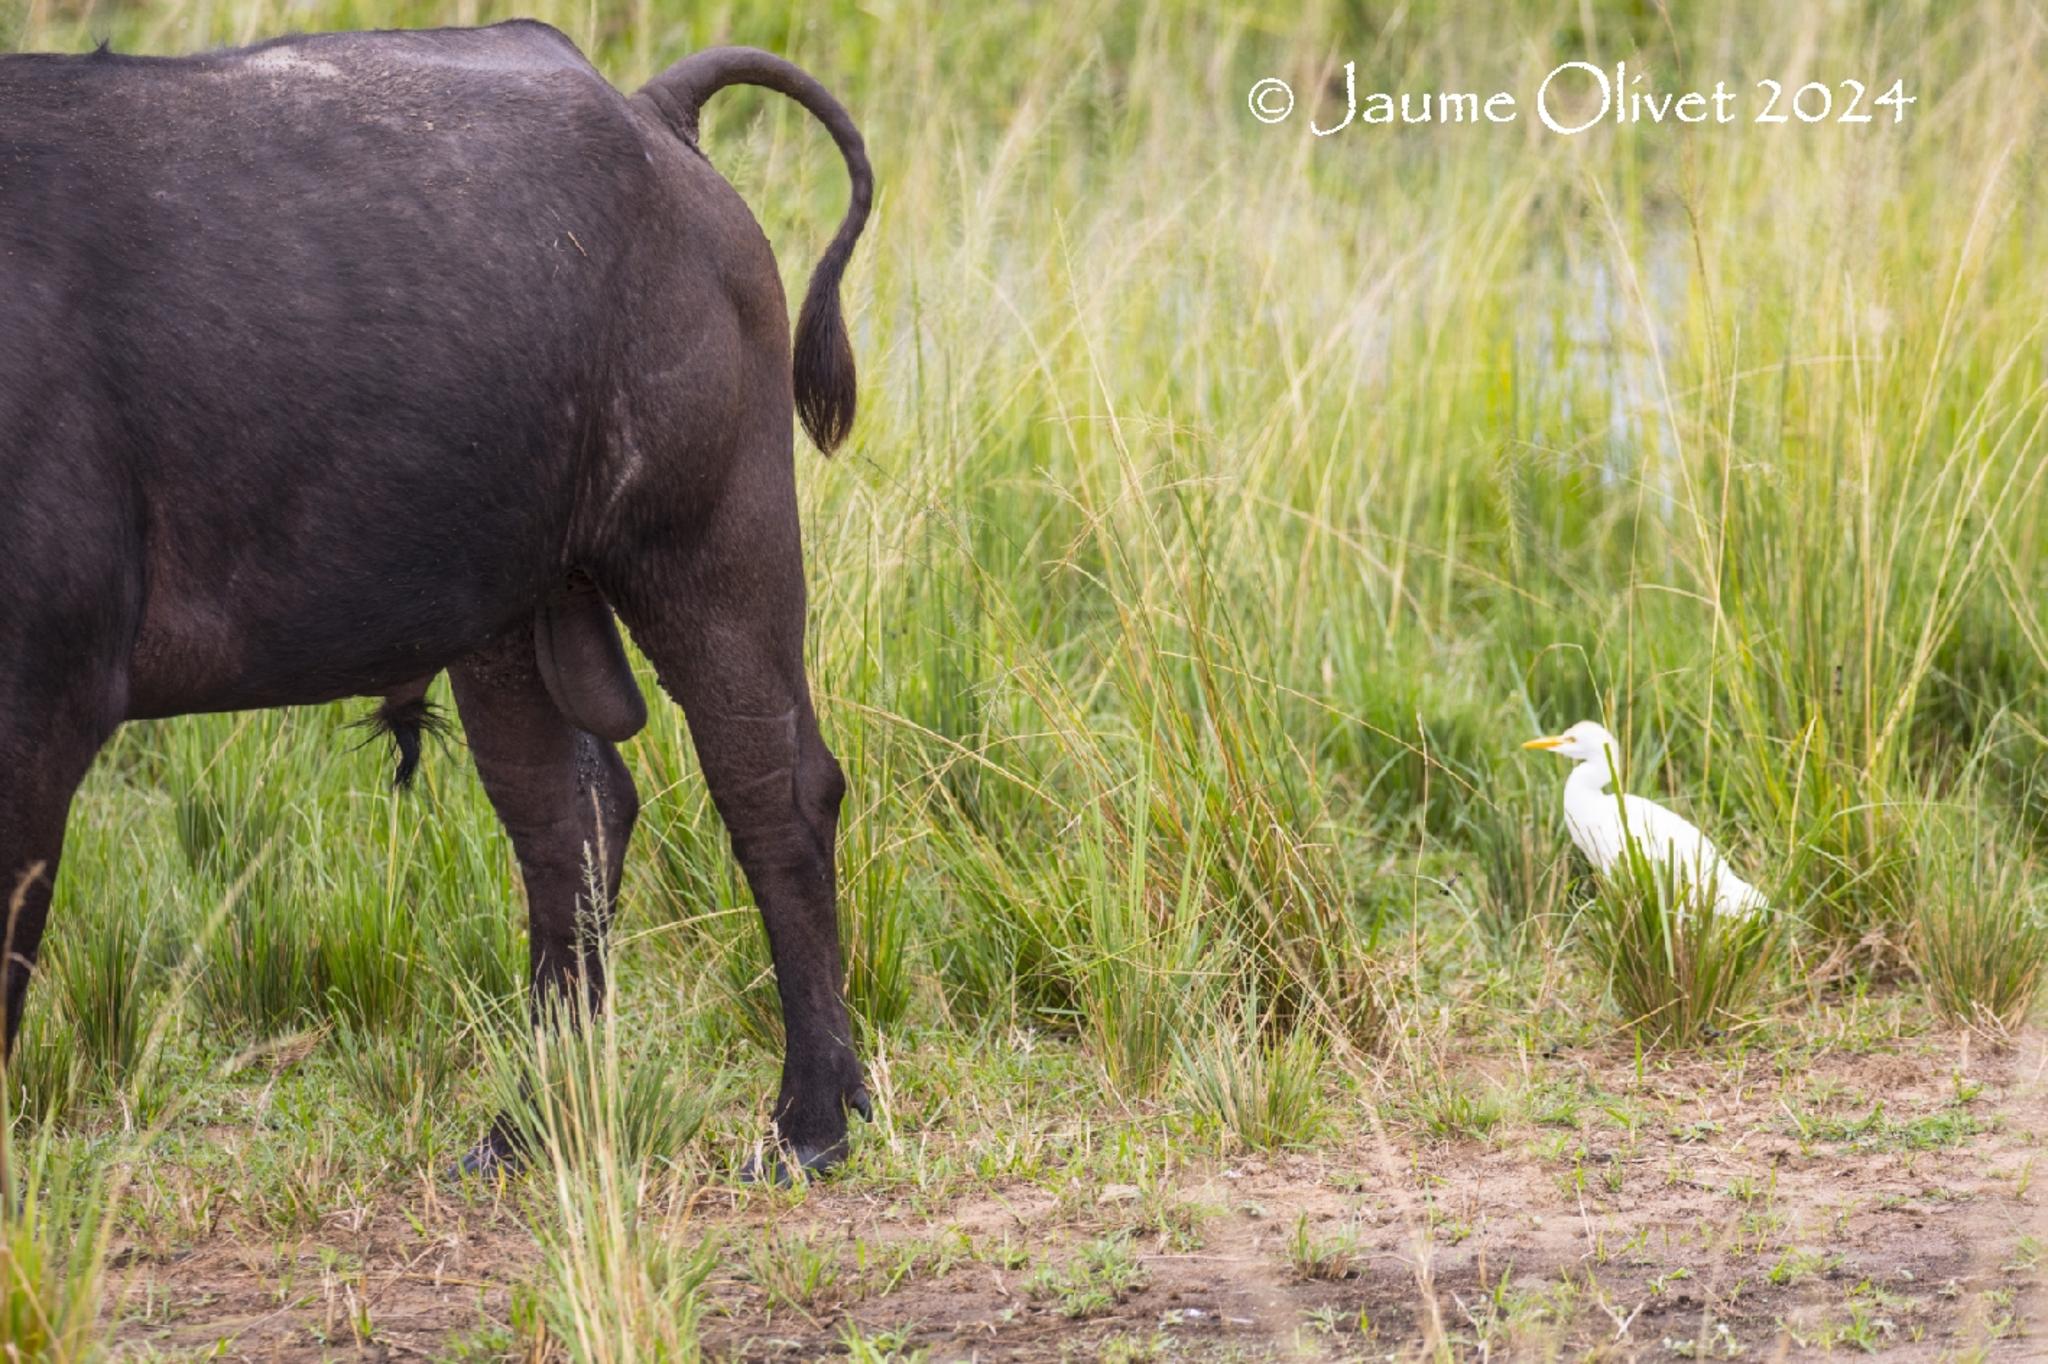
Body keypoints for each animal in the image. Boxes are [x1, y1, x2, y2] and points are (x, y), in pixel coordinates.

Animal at [0, 18, 872, 1171]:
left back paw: (812, 1117)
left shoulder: (38, 716)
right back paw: (528, 1126)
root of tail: (650, 116)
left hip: (710, 542)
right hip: (506, 618)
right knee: (572, 822)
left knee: (775, 790)